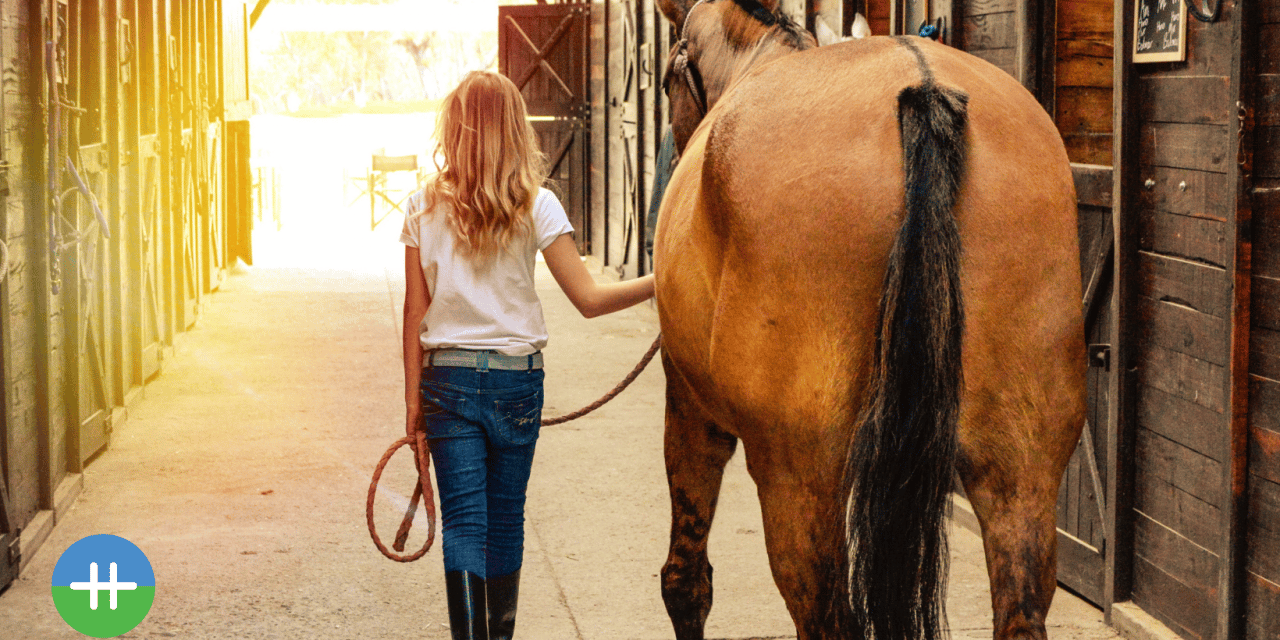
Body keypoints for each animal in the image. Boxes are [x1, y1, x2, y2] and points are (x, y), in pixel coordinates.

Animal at [650, 1, 1087, 639]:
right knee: (1021, 605)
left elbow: (685, 582)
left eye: (665, 81)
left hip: (799, 478)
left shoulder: (689, 407)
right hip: (1021, 469)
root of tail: (924, 88)